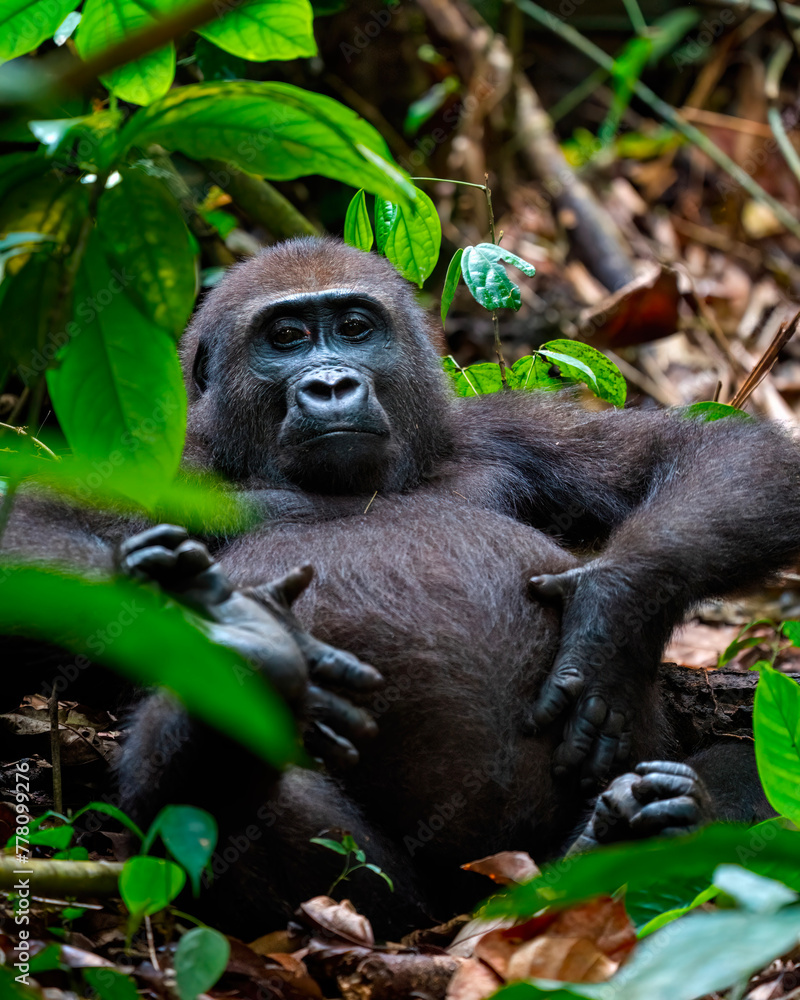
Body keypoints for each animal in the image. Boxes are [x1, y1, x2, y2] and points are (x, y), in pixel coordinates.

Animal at [3, 236, 796, 936]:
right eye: (285, 337)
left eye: (356, 329)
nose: (330, 385)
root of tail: (481, 887)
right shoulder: (169, 461)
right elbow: (34, 549)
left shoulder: (501, 429)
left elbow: (703, 450)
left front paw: (614, 618)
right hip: (398, 897)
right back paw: (253, 652)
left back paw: (652, 826)